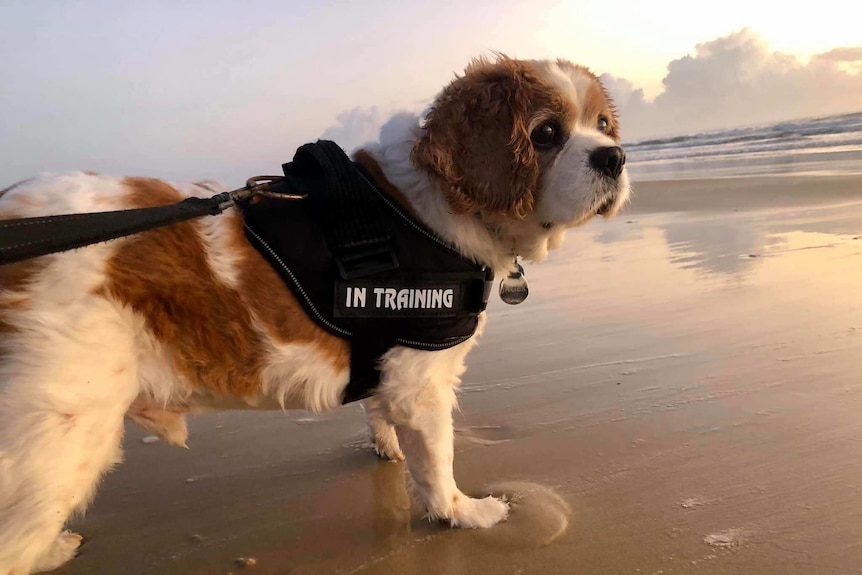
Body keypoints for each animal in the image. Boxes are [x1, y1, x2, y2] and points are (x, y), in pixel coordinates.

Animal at [1, 55, 636, 575]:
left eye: (604, 125)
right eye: (546, 134)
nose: (616, 157)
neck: (426, 209)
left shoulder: (388, 367)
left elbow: (382, 418)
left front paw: (389, 449)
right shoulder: (423, 383)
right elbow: (438, 464)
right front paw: (464, 512)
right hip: (57, 441)